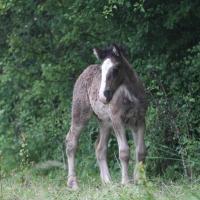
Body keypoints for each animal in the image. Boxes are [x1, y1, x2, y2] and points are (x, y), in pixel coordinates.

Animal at [65, 43, 147, 189]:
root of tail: (84, 72)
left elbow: (140, 151)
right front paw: (126, 182)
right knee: (71, 141)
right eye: (102, 70)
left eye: (116, 69)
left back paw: (107, 181)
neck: (131, 96)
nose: (103, 96)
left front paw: (140, 180)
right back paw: (73, 183)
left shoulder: (139, 120)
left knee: (99, 147)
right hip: (80, 114)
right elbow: (124, 152)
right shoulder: (117, 120)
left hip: (104, 122)